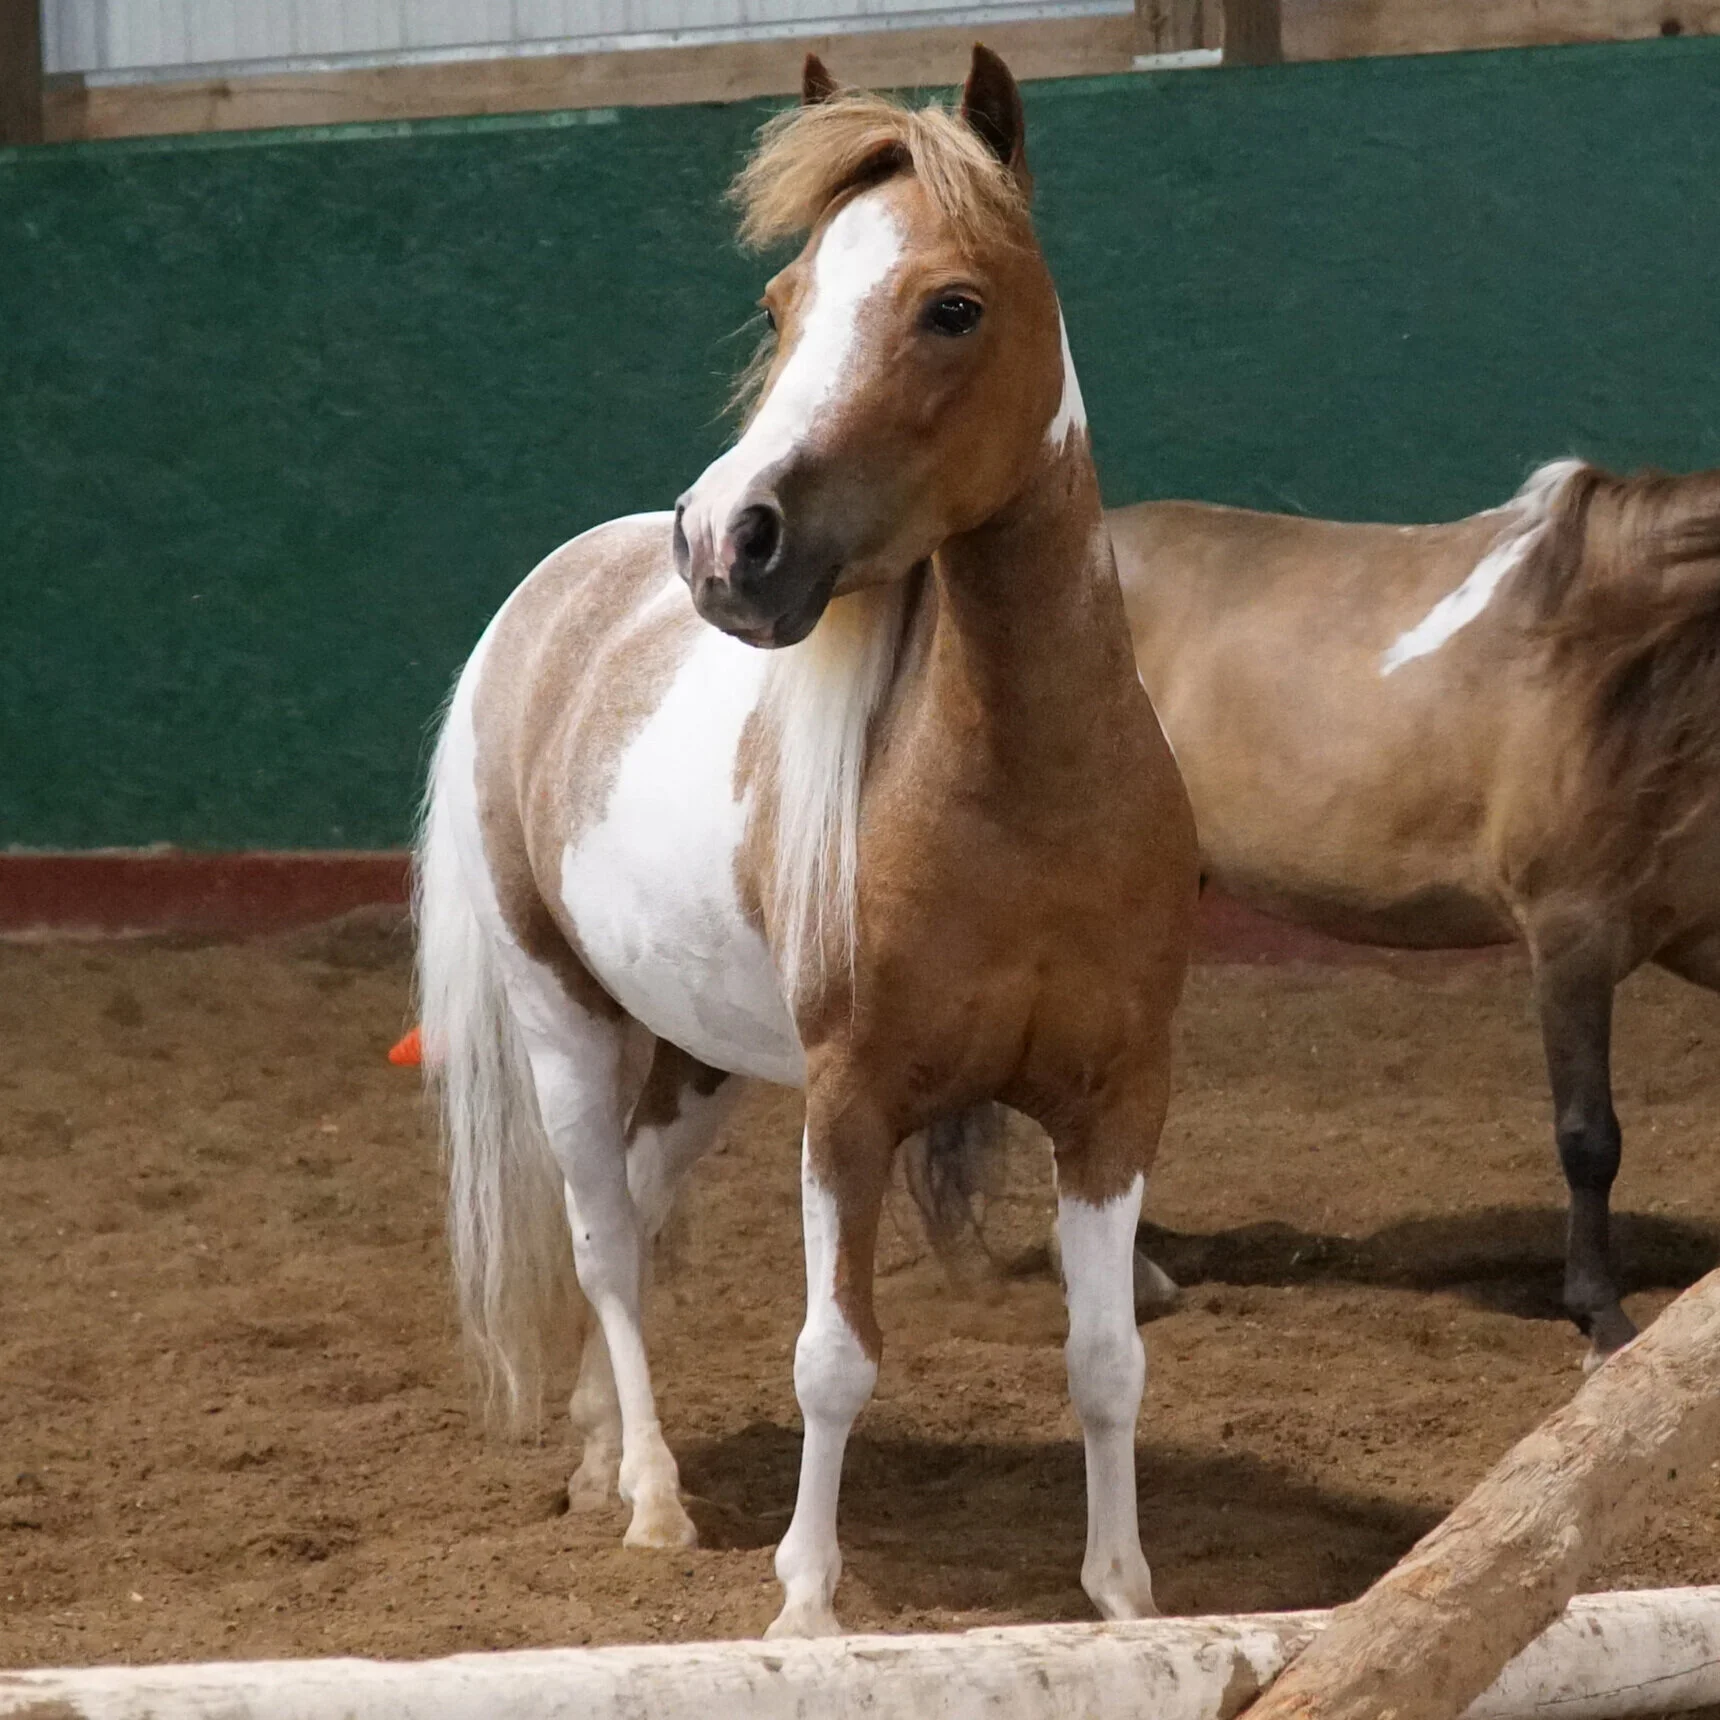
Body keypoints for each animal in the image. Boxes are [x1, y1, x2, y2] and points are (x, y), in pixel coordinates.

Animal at [417, 47, 1197, 1637]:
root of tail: (546, 599)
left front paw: (1124, 1599)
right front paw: (805, 1606)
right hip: (560, 1015)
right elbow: (833, 1359)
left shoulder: (1114, 1105)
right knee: (603, 1238)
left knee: (641, 1208)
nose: (726, 541)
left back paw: (595, 1454)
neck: (1025, 802)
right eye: (782, 303)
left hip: (700, 1056)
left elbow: (1106, 1364)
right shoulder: (848, 1107)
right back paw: (650, 1498)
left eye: (952, 306)